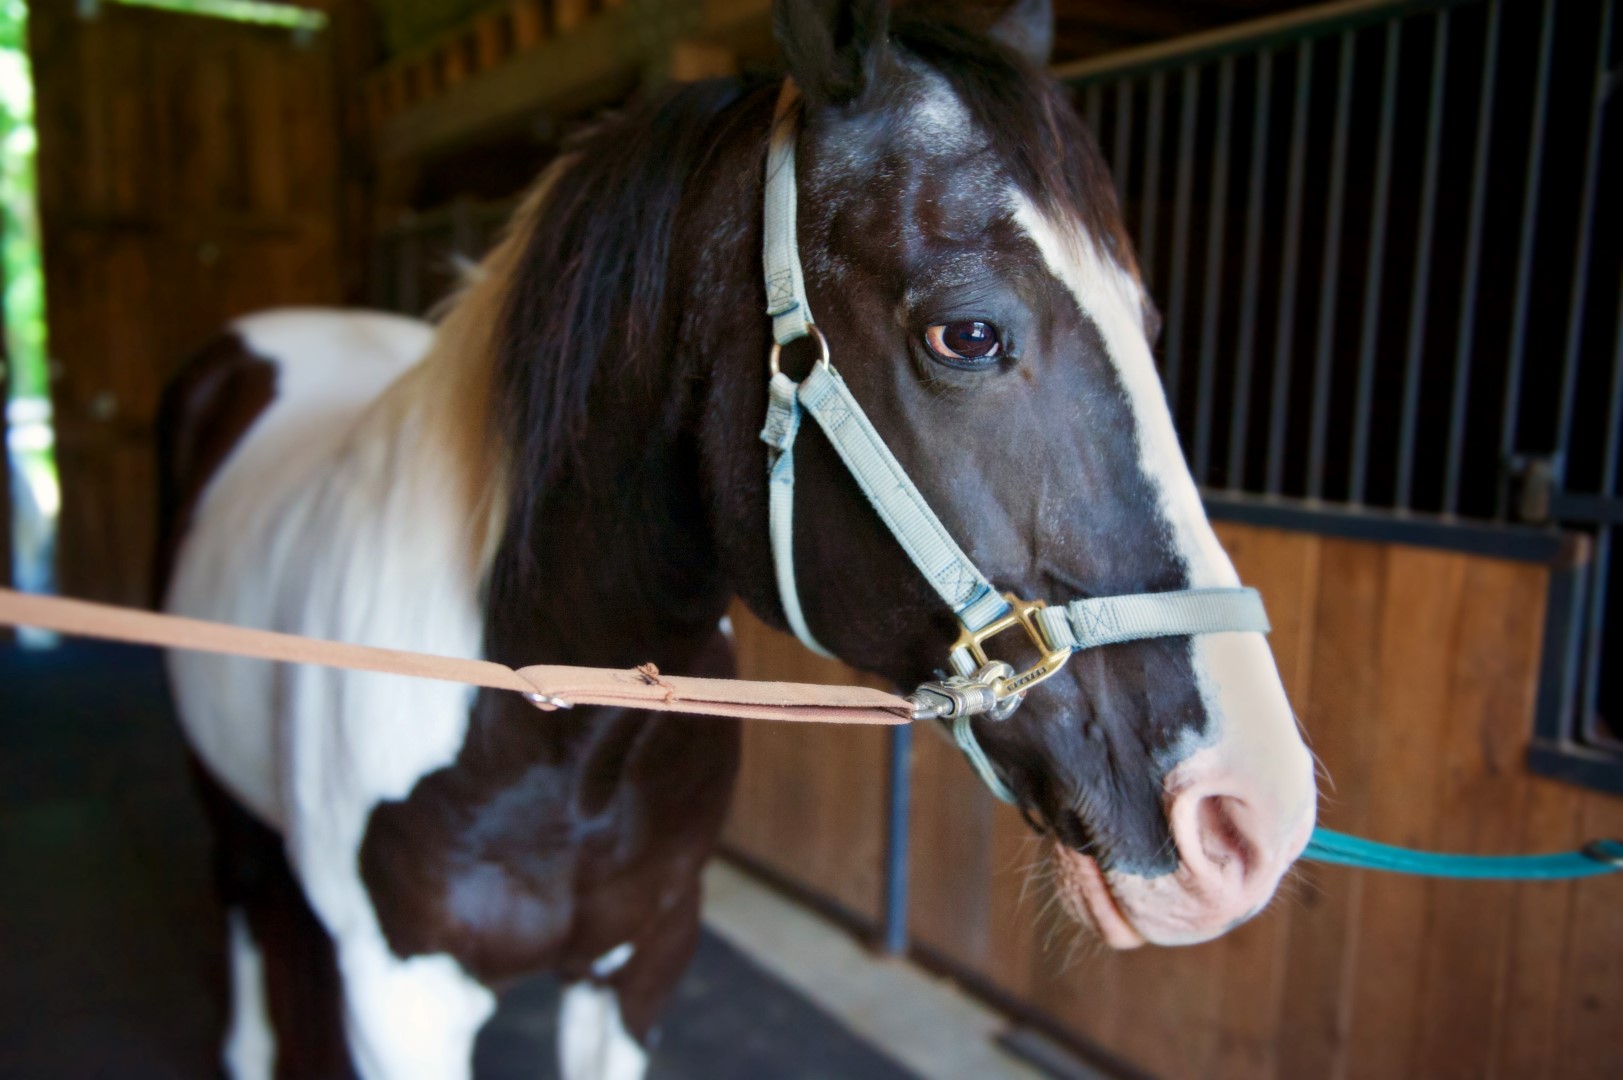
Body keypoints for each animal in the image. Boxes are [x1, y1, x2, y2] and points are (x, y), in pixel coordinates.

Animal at [155, 1, 1317, 1075]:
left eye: (1148, 326)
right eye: (969, 334)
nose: (1248, 817)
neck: (551, 722)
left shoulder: (643, 963)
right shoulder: (401, 1001)